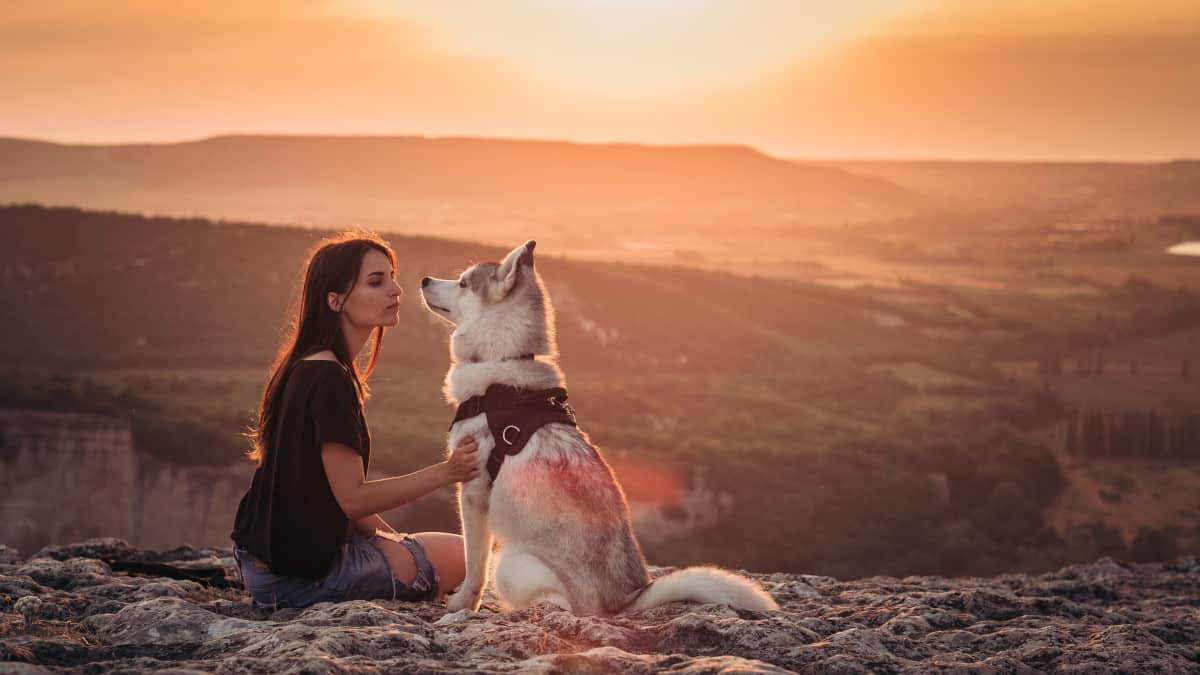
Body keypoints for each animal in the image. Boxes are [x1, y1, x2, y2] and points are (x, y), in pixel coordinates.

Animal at [422, 241, 777, 614]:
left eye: (463, 283)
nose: (423, 279)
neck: (501, 363)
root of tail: (624, 600)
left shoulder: (473, 491)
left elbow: (474, 567)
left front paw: (461, 604)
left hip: (511, 565)